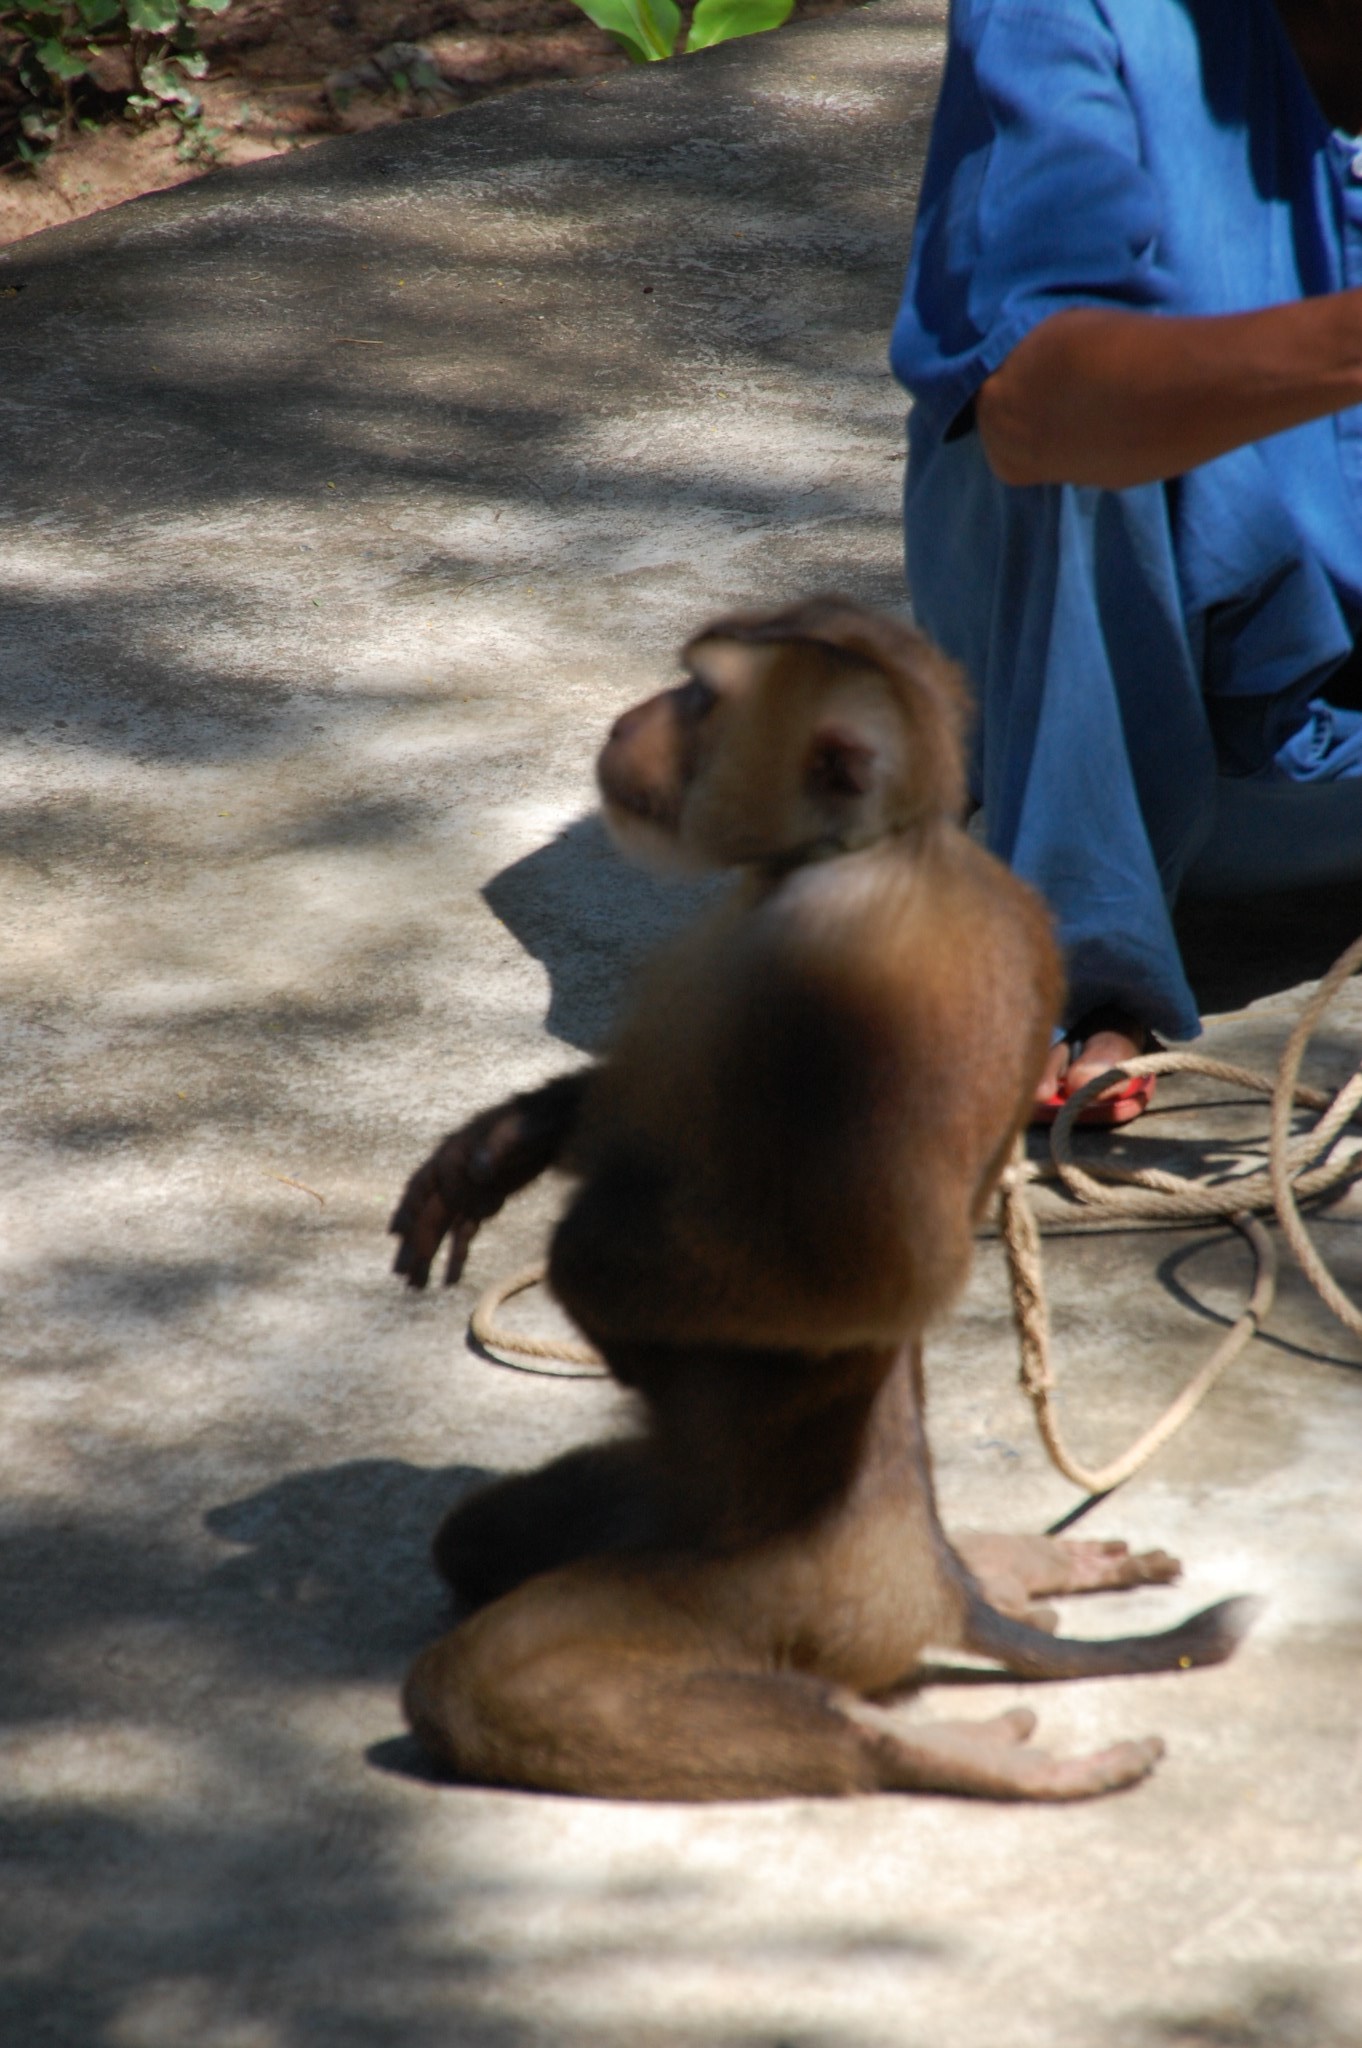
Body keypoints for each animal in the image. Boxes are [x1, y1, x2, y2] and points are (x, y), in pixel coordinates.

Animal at [387, 598, 1245, 1802]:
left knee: (492, 1675)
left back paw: (895, 1742)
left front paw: (582, 1254)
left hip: (799, 1599)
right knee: (482, 1538)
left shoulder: (825, 967)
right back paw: (996, 1569)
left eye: (700, 697)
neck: (869, 849)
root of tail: (922, 1577)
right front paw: (499, 1149)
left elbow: (876, 1272)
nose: (631, 721)